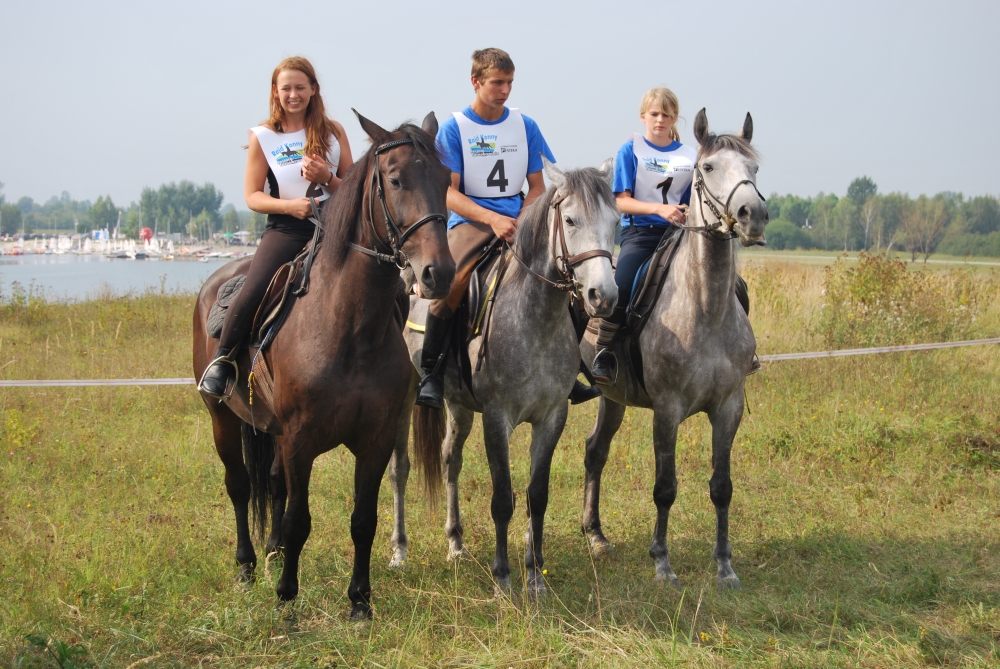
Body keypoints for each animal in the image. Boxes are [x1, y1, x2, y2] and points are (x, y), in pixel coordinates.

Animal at [192, 112, 455, 619]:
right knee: (239, 485)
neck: (348, 329)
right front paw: (286, 599)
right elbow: (299, 519)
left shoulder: (374, 440)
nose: (439, 273)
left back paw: (272, 553)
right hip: (222, 418)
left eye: (447, 179)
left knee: (272, 483)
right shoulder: (300, 440)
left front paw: (360, 602)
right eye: (395, 179)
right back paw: (247, 566)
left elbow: (363, 519)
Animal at [391, 159, 619, 597]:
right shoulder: (498, 419)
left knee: (450, 459)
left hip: (458, 405)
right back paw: (399, 552)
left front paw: (535, 577)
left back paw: (456, 543)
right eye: (570, 220)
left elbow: (536, 496)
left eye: (617, 221)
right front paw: (502, 579)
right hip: (403, 399)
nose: (604, 296)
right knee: (400, 469)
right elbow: (502, 498)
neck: (536, 320)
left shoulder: (551, 418)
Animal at [579, 109, 769, 589]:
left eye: (754, 168)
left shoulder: (728, 407)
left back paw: (596, 535)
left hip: (613, 397)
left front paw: (725, 566)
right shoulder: (667, 409)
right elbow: (665, 487)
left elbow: (722, 486)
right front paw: (662, 563)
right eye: (709, 167)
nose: (753, 214)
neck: (705, 308)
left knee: (595, 451)